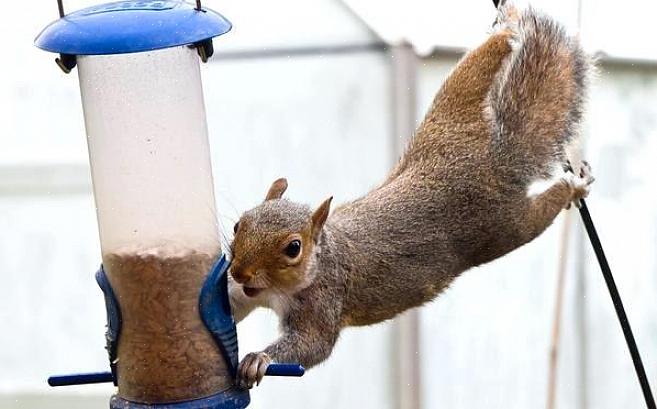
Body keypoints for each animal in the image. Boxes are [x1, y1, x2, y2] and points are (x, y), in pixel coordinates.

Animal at [227, 1, 596, 388]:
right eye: (239, 225)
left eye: (293, 248)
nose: (238, 271)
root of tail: (496, 157)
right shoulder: (245, 293)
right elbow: (230, 303)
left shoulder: (324, 302)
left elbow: (312, 345)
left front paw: (259, 359)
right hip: (451, 108)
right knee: (479, 65)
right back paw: (507, 25)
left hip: (507, 225)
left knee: (542, 209)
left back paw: (573, 186)